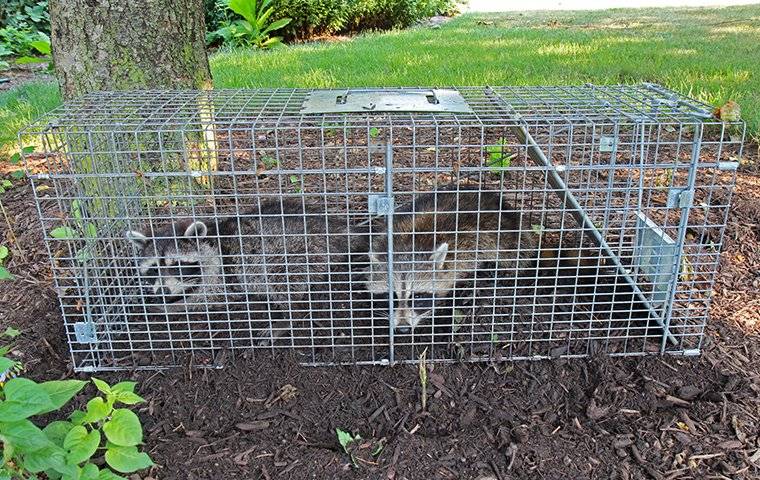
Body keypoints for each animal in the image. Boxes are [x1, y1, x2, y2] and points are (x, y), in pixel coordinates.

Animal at [126, 197, 358, 336]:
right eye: (153, 269)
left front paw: (171, 306)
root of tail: (331, 227)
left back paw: (289, 316)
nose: (162, 292)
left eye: (176, 265)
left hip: (297, 252)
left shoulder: (222, 273)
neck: (211, 240)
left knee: (280, 279)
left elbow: (206, 298)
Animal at [364, 186, 536, 332]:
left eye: (417, 296)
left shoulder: (468, 247)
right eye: (390, 296)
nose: (403, 328)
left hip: (506, 232)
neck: (408, 246)